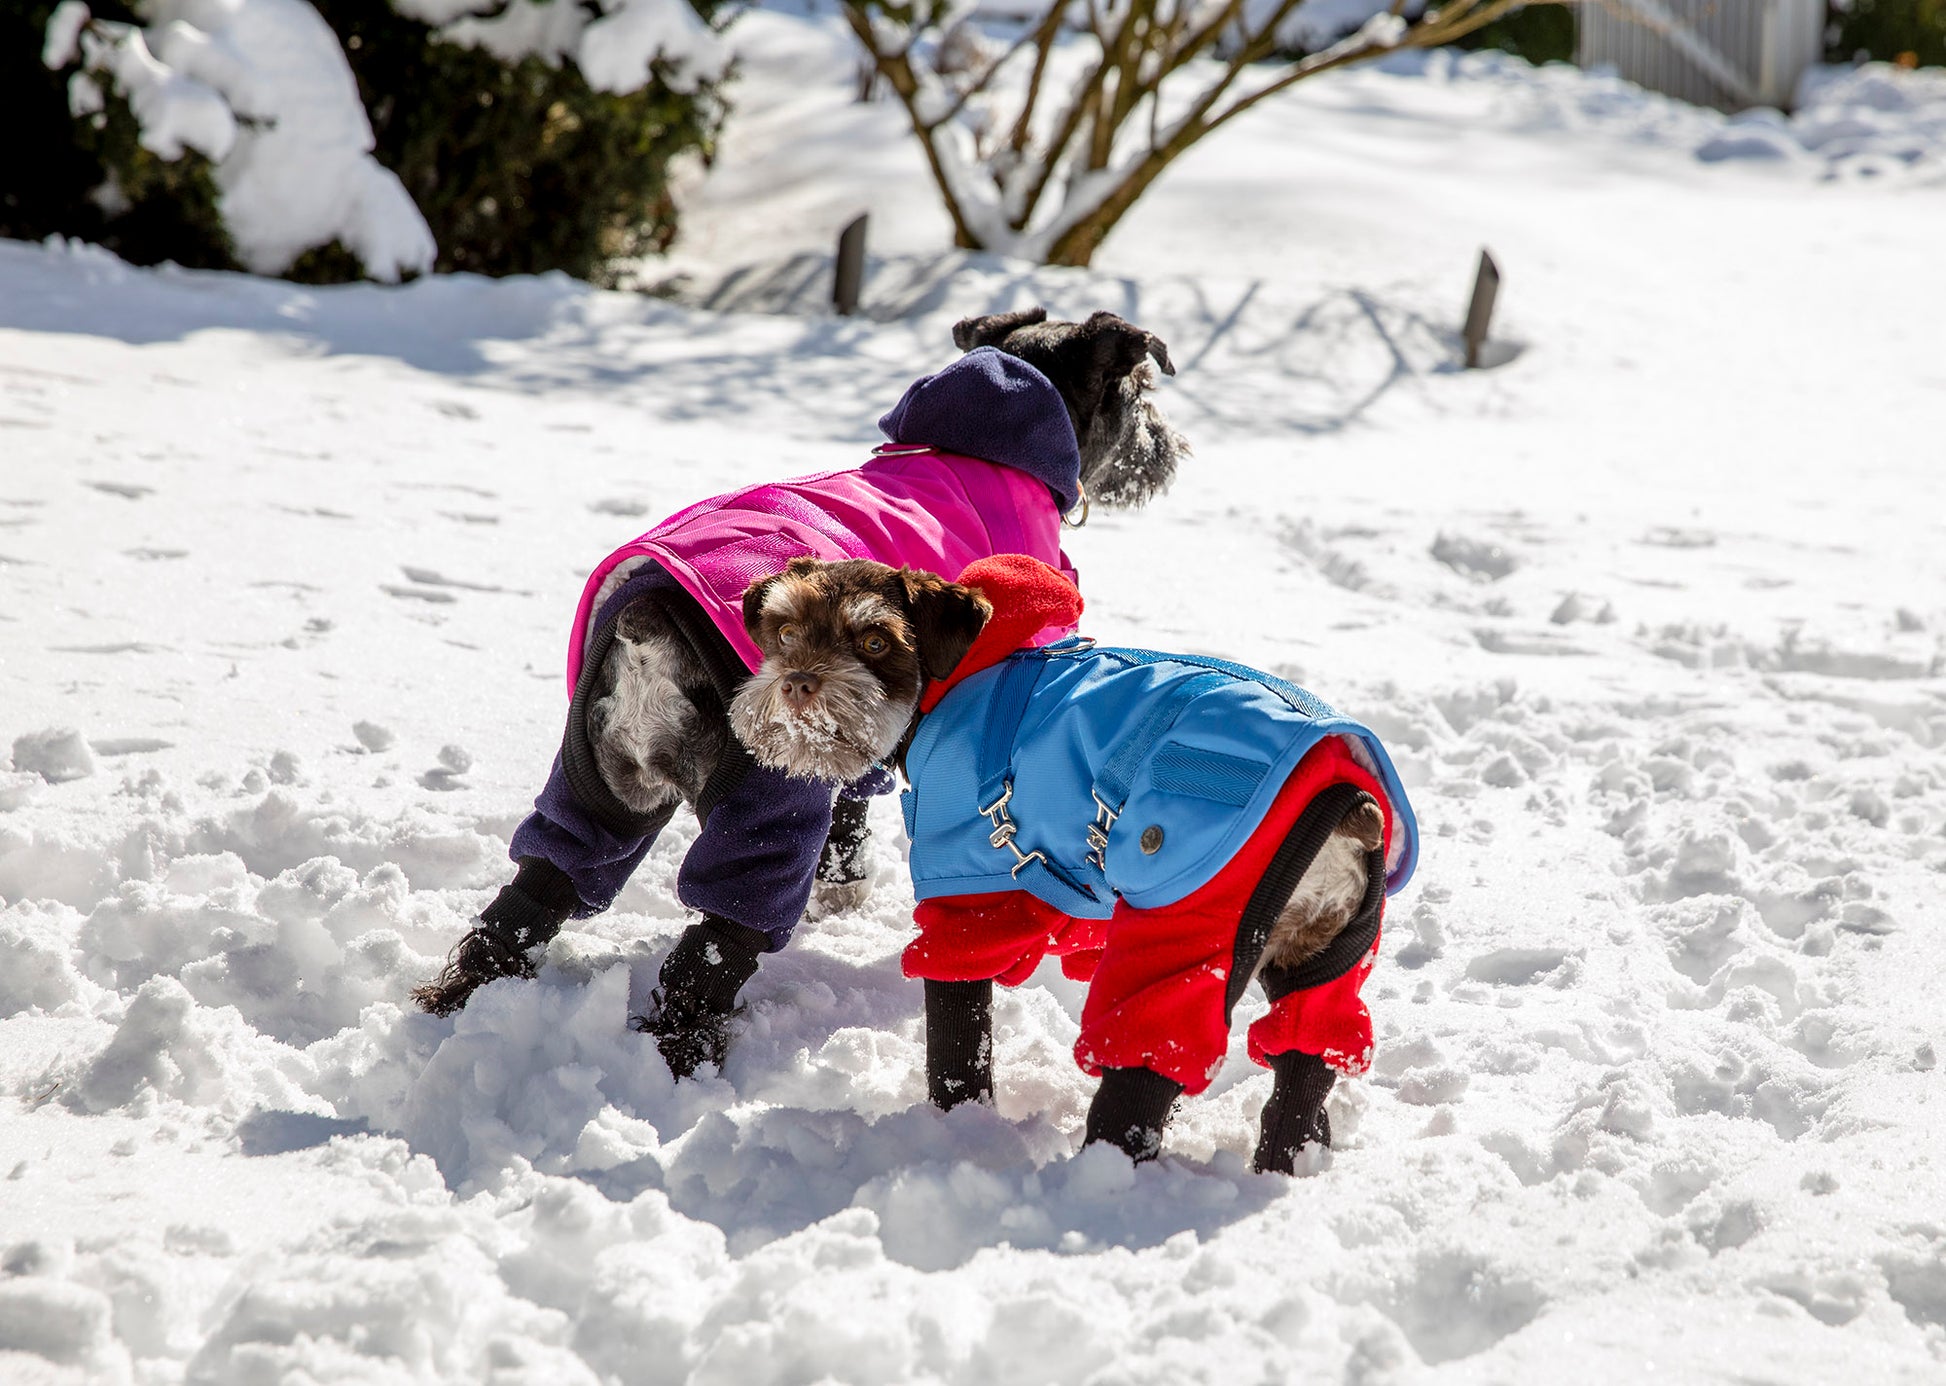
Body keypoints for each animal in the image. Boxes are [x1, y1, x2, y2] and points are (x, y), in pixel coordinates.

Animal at [412, 310, 1192, 1083]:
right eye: (1140, 390)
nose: (1167, 449)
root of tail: (649, 626)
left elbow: (851, 812)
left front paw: (841, 893)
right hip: (765, 809)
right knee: (718, 942)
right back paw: (683, 1056)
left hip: (598, 787)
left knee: (537, 891)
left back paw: (459, 1008)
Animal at [731, 553, 1419, 1172]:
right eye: (785, 632)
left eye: (875, 641)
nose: (798, 683)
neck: (955, 678)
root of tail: (1350, 803)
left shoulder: (967, 905)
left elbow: (960, 1044)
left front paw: (960, 1122)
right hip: (1321, 956)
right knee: (1305, 1065)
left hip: (1183, 936)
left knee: (1140, 1083)